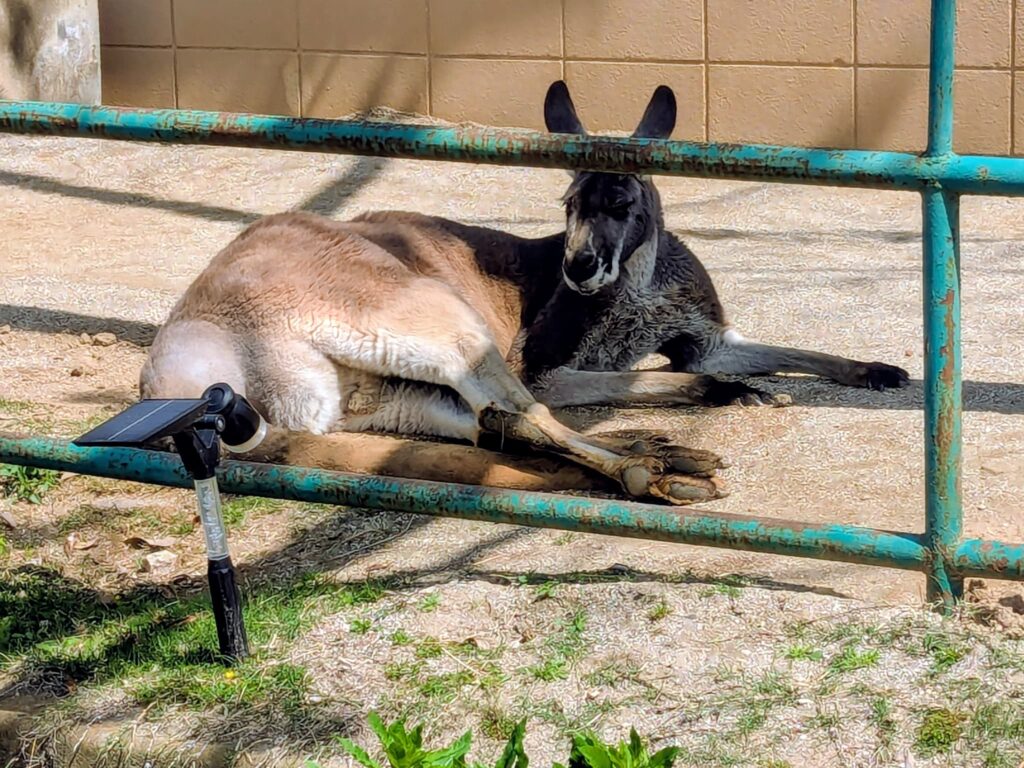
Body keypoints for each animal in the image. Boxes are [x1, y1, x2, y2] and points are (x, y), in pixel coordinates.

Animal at [140, 80, 908, 505]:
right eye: (568, 203)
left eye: (623, 201)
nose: (579, 269)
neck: (640, 287)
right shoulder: (548, 356)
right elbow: (615, 380)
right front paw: (735, 397)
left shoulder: (705, 336)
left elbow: (789, 353)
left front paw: (881, 371)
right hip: (425, 315)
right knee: (518, 413)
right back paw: (653, 470)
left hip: (383, 394)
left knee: (492, 423)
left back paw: (670, 454)